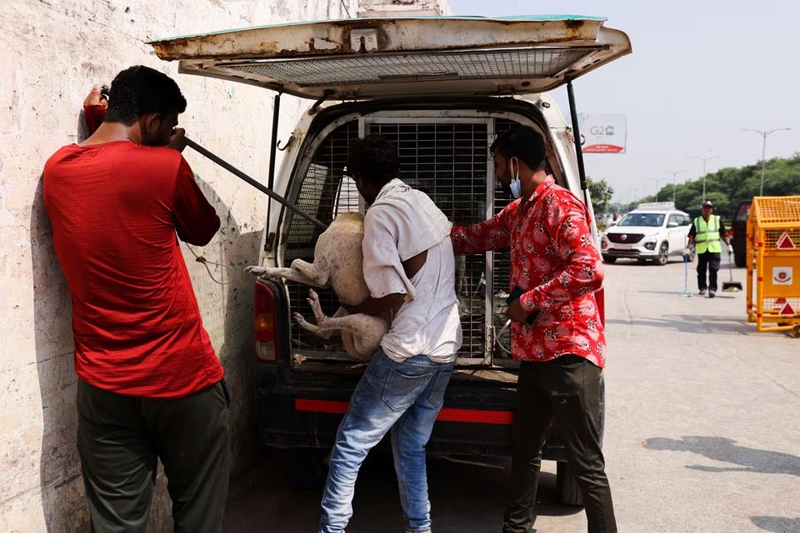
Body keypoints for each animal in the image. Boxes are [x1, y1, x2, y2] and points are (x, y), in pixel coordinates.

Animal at [247, 212, 390, 362]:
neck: (352, 220)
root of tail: (367, 357)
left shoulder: (318, 274)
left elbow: (295, 261)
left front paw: (288, 276)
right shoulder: (321, 280)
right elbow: (286, 269)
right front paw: (263, 270)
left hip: (366, 323)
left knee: (325, 323)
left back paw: (315, 303)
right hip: (344, 309)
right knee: (325, 332)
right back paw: (304, 321)